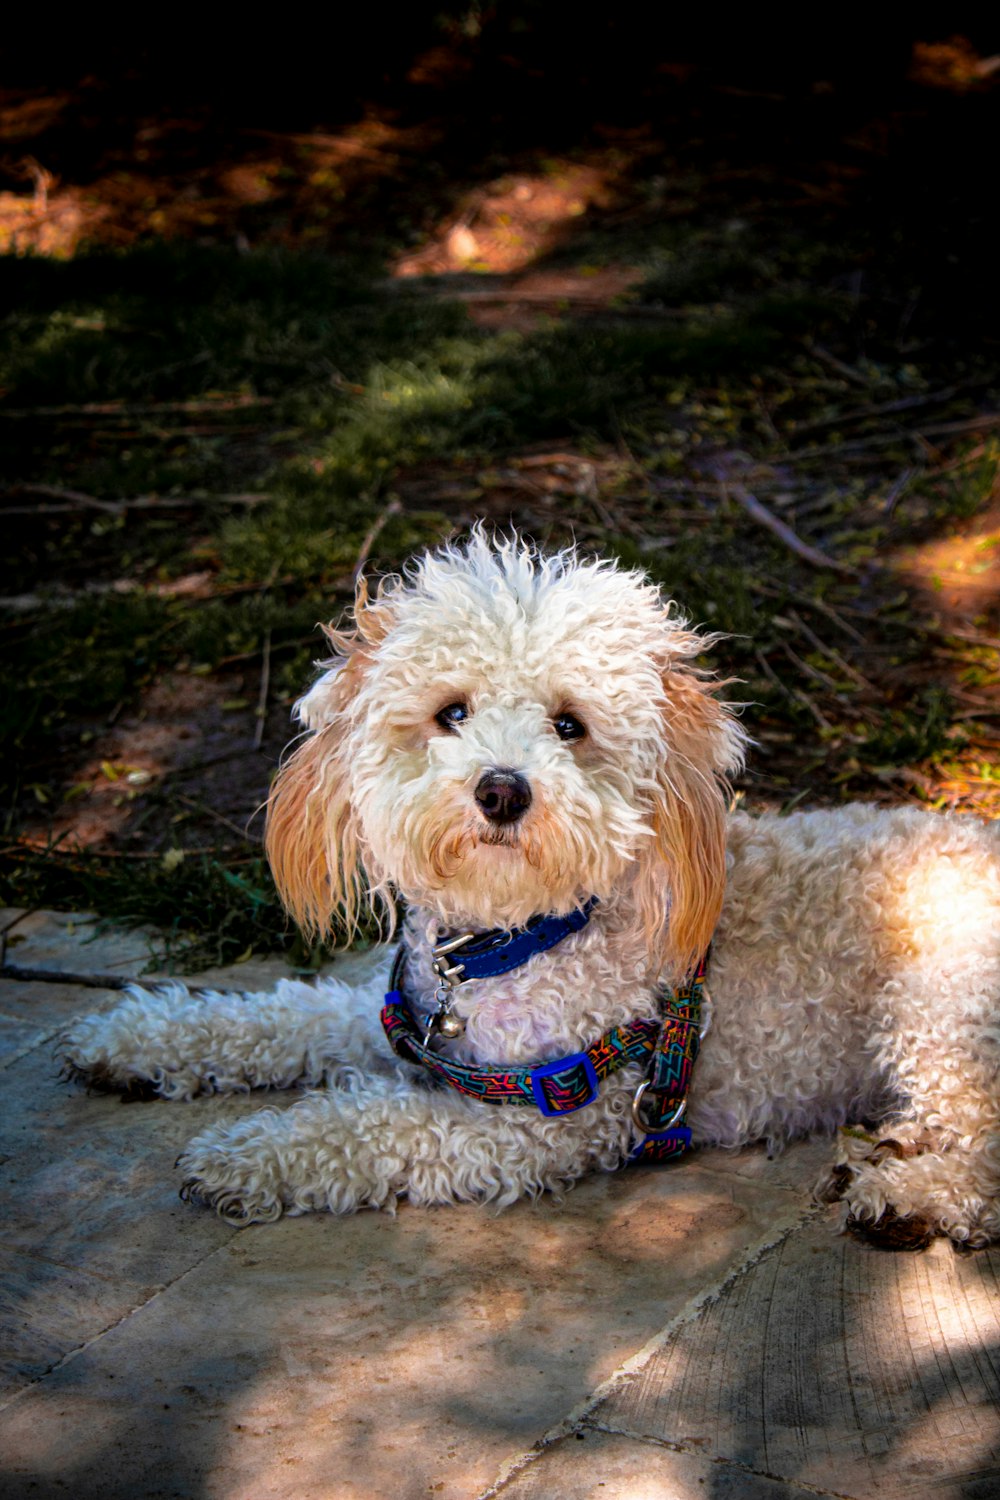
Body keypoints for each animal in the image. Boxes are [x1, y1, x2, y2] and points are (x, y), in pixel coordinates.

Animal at [60, 534, 1000, 1248]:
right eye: (452, 712)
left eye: (568, 726)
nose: (503, 791)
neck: (499, 946)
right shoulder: (411, 1026)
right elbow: (281, 1013)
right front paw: (136, 1039)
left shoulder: (544, 1118)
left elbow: (370, 1125)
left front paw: (250, 1153)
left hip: (938, 1004)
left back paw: (916, 1197)